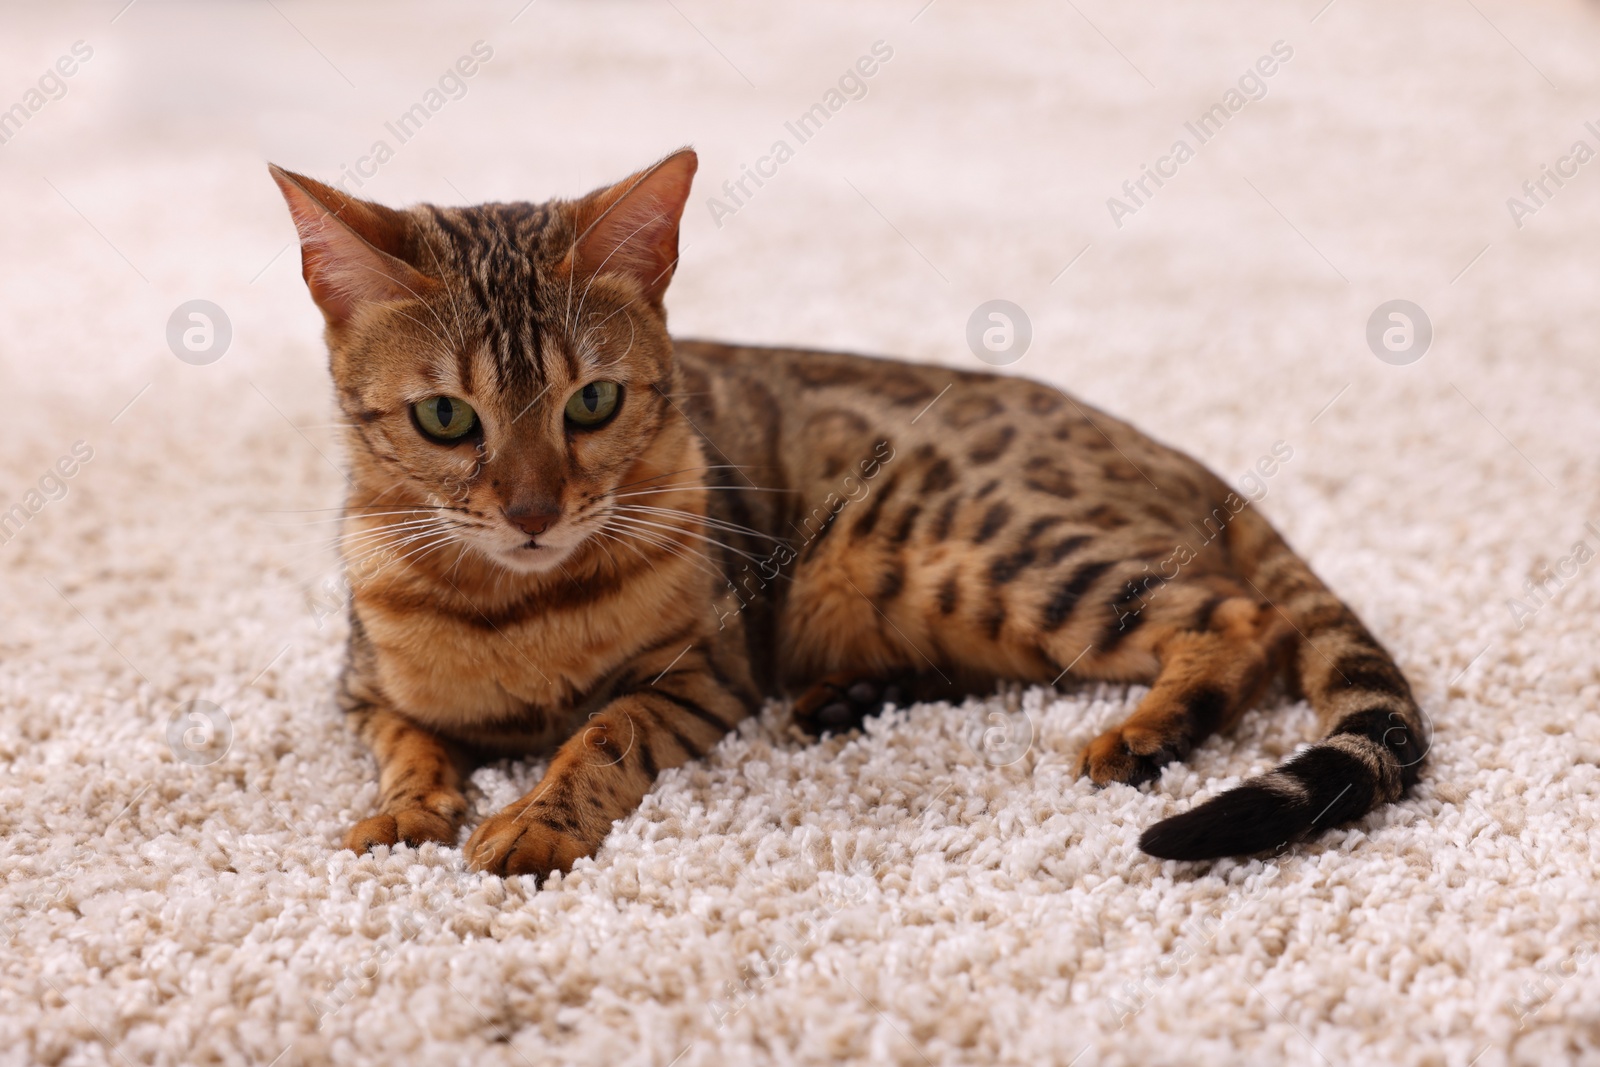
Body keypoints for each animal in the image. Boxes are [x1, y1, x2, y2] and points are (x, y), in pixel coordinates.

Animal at [272, 151, 1427, 883]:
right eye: (444, 416)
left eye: (591, 402)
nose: (531, 509)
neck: (516, 606)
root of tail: (1183, 456)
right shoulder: (359, 689)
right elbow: (411, 743)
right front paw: (407, 810)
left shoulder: (702, 673)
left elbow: (600, 735)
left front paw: (532, 821)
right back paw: (852, 695)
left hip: (984, 555)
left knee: (1237, 617)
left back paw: (1148, 729)